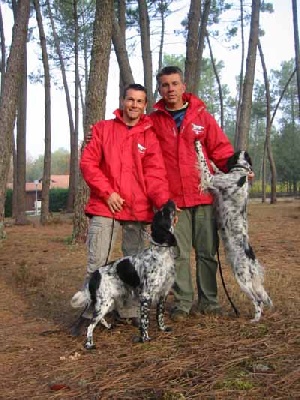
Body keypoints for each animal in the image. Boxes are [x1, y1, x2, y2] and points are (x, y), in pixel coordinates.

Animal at [71, 202, 177, 348]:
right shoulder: (146, 296)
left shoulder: (163, 292)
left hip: (108, 302)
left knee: (98, 318)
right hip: (104, 302)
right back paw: (89, 344)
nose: (170, 201)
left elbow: (159, 315)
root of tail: (95, 275)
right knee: (90, 326)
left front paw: (163, 328)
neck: (161, 254)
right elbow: (145, 321)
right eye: (163, 212)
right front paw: (145, 338)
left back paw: (108, 326)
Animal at [195, 141, 272, 322]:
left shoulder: (211, 180)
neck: (241, 171)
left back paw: (255, 320)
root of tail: (252, 259)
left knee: (258, 300)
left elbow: (203, 163)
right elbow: (214, 168)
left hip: (242, 279)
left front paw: (199, 145)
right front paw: (214, 163)